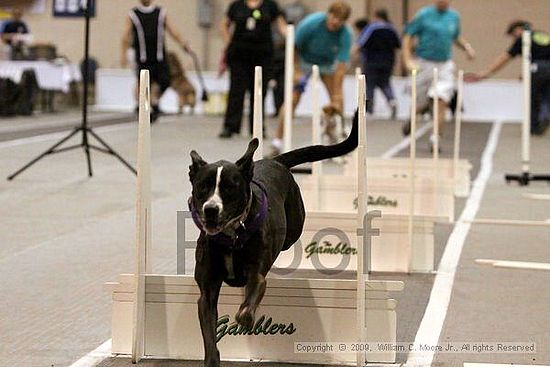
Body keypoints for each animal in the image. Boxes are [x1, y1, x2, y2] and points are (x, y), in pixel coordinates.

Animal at [190, 110, 360, 366]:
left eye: (229, 188)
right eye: (202, 187)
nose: (211, 209)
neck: (232, 236)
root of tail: (276, 161)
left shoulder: (257, 275)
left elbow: (250, 300)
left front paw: (246, 319)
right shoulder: (207, 289)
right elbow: (209, 333)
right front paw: (212, 358)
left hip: (294, 226)